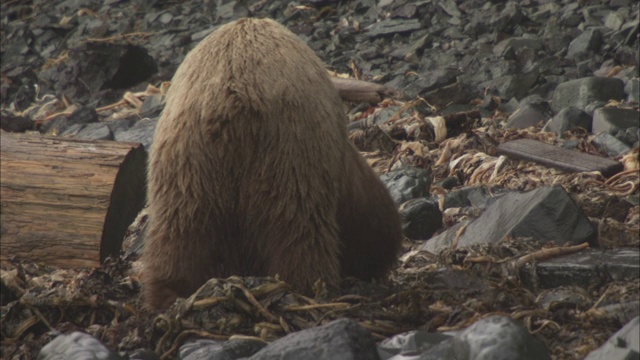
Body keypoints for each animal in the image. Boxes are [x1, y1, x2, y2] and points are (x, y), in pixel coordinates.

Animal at [143, 17, 402, 310]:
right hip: (288, 149)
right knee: (298, 228)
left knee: (178, 232)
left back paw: (168, 295)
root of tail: (232, 101)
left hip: (187, 164)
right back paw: (310, 288)